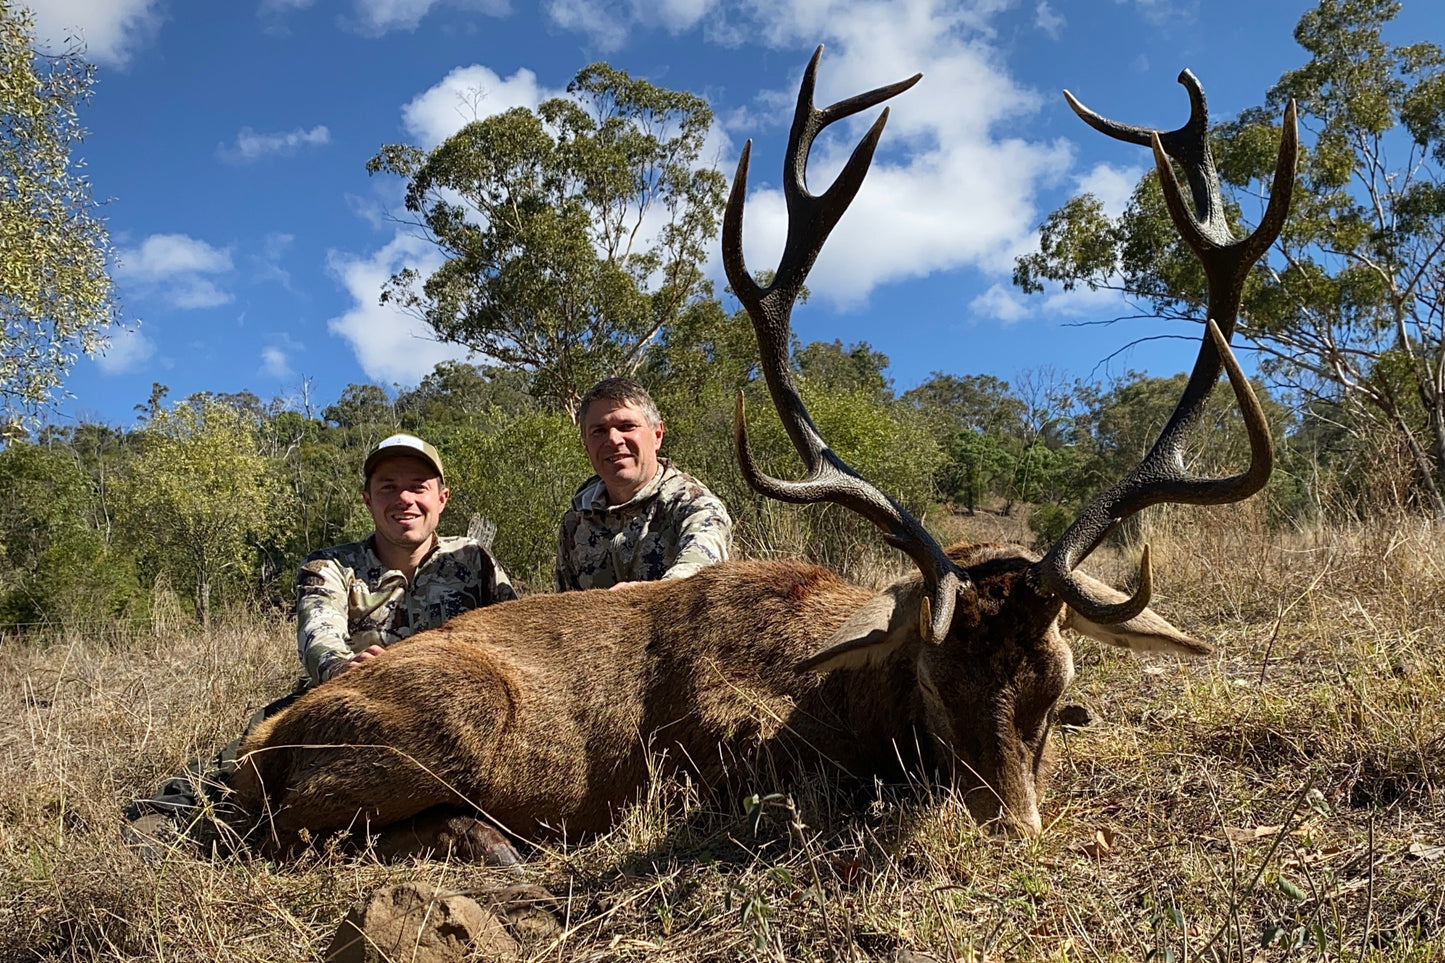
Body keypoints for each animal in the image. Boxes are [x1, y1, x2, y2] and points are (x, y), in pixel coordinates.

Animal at [228, 49, 1296, 859]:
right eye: (927, 683)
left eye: (1057, 684)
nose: (1010, 830)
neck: (838, 689)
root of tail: (255, 747)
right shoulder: (718, 760)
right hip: (440, 726)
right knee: (300, 831)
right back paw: (489, 842)